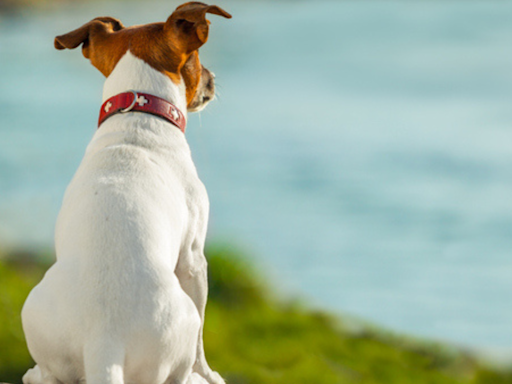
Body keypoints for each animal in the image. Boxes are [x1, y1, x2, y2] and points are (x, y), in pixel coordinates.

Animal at [21, 3, 231, 384]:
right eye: (197, 58)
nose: (211, 78)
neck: (137, 111)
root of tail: (104, 340)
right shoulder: (194, 257)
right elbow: (201, 346)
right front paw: (207, 373)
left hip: (36, 312)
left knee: (50, 375)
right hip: (182, 319)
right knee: (181, 362)